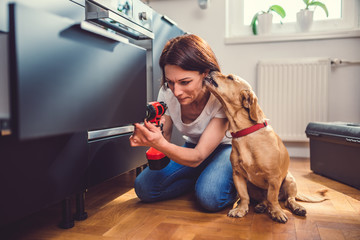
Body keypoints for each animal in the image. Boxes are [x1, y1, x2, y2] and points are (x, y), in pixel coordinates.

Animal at [204, 71, 324, 223]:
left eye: (230, 77)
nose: (211, 71)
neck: (245, 133)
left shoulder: (273, 178)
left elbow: (272, 198)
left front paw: (277, 212)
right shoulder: (238, 175)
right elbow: (244, 196)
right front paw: (241, 209)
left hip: (289, 180)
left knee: (288, 200)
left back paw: (297, 207)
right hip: (252, 186)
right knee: (264, 199)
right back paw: (261, 206)